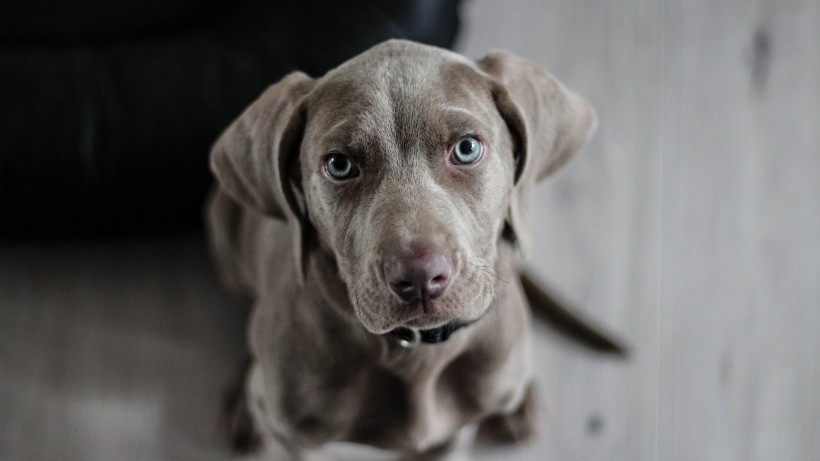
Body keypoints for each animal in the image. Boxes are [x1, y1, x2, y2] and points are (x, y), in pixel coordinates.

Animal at [208, 40, 596, 460]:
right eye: (339, 164)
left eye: (467, 148)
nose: (420, 277)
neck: (415, 353)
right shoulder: (295, 441)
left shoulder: (451, 436)